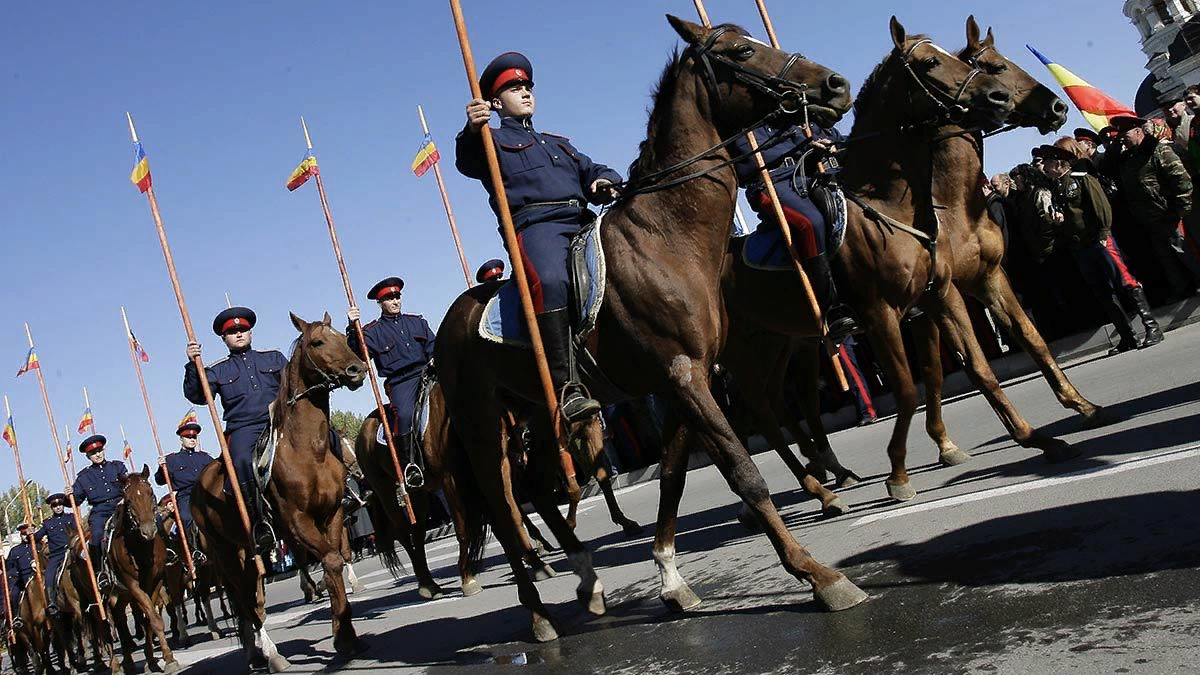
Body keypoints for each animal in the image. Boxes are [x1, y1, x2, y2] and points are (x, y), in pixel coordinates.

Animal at [106, 466, 178, 672]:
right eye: (128, 500)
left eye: (150, 493)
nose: (148, 531)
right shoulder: (133, 586)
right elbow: (153, 619)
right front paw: (168, 659)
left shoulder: (156, 581)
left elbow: (149, 620)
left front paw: (156, 659)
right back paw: (118, 665)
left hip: (120, 596)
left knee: (119, 618)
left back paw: (129, 660)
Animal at [187, 312, 362, 667]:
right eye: (317, 342)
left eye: (343, 336)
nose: (357, 369)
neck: (307, 448)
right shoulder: (296, 522)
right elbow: (330, 561)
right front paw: (343, 636)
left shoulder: (332, 514)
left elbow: (336, 560)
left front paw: (345, 632)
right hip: (224, 554)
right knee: (245, 599)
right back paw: (270, 653)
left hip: (245, 551)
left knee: (251, 595)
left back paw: (255, 651)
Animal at [436, 13, 868, 638]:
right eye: (741, 51)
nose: (835, 85)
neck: (668, 236)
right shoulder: (682, 376)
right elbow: (743, 471)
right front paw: (817, 574)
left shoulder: (686, 379)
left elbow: (671, 475)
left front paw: (669, 577)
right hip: (482, 424)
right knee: (503, 505)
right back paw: (537, 612)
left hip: (539, 412)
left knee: (538, 487)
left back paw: (587, 579)